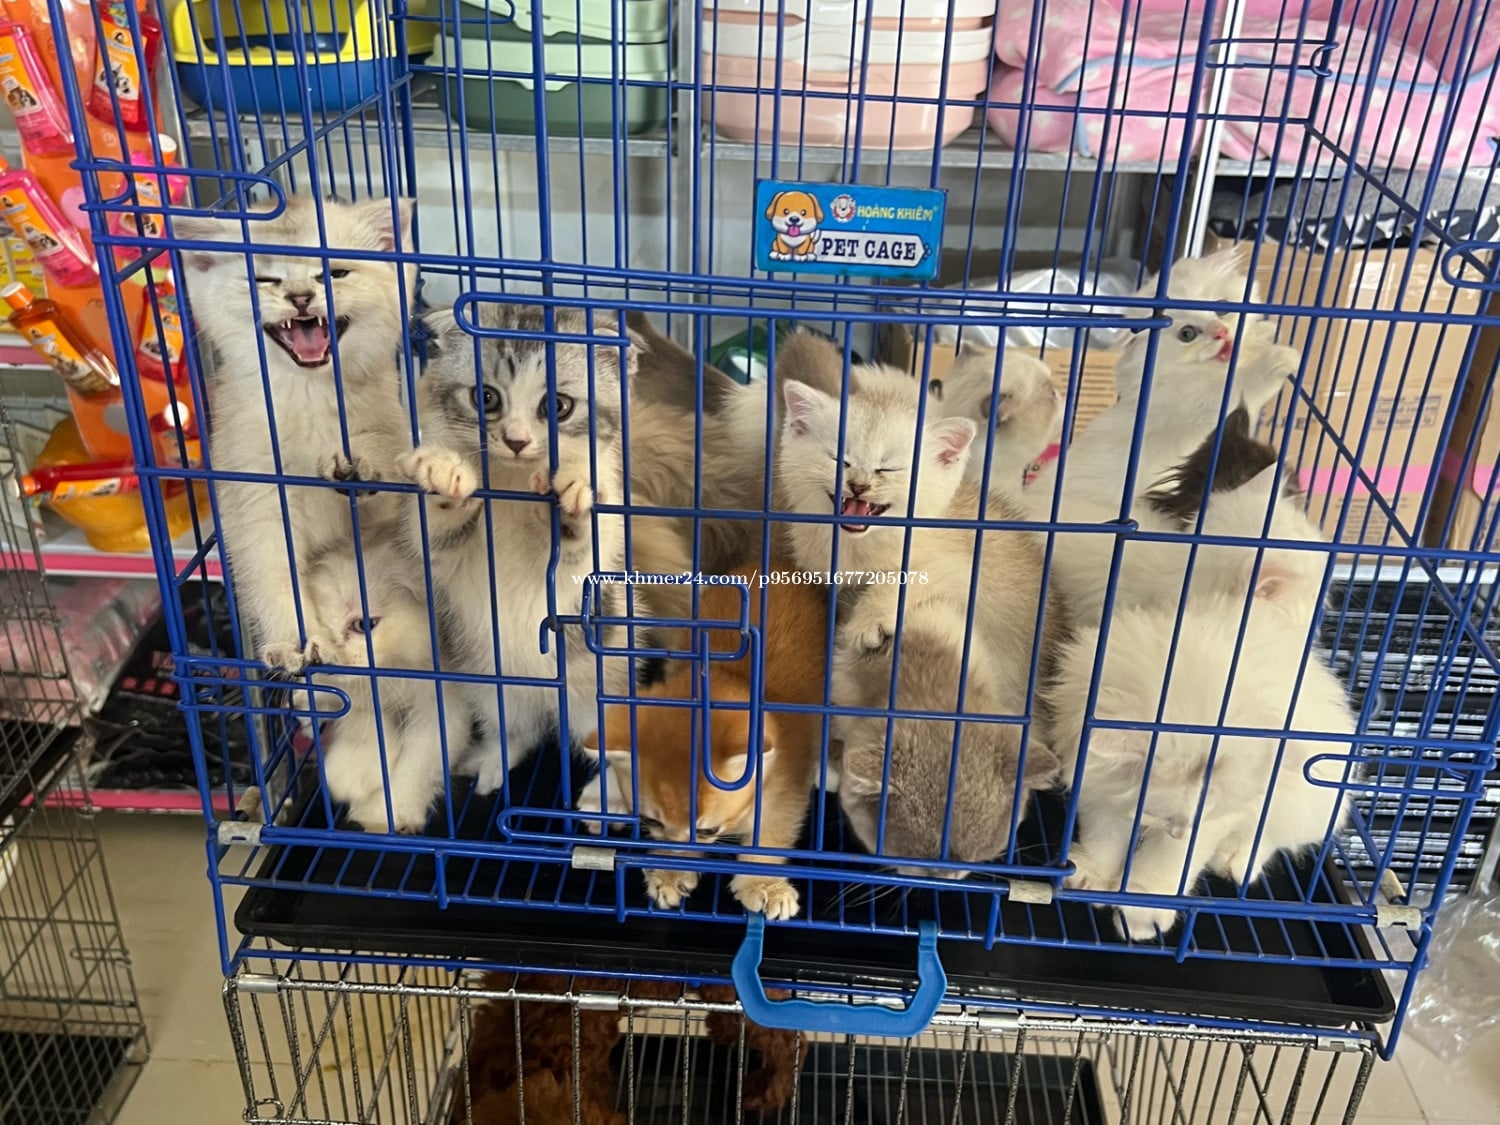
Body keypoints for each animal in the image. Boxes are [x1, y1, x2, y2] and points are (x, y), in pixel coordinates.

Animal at [174, 195, 415, 671]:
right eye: (263, 279)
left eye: (334, 273)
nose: (301, 296)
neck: (308, 393)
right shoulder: (256, 499)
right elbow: (272, 573)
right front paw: (295, 641)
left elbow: (380, 462)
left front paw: (356, 463)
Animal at [296, 536, 473, 833]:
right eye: (318, 628)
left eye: (363, 625)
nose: (331, 662)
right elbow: (361, 721)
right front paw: (352, 772)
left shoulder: (444, 704)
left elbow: (420, 761)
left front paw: (384, 814)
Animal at [395, 303, 631, 791]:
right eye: (486, 398)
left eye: (557, 406)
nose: (517, 441)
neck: (513, 483)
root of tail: (547, 700)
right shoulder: (442, 554)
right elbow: (437, 536)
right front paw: (444, 474)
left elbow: (582, 546)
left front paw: (571, 494)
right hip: (487, 681)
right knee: (517, 728)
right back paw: (493, 760)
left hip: (605, 680)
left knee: (609, 745)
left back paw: (611, 794)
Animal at [578, 557, 830, 920]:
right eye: (650, 821)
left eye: (709, 830)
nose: (679, 851)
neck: (730, 675)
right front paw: (670, 871)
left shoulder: (788, 782)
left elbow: (771, 832)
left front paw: (763, 884)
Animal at [1023, 248, 1303, 632]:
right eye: (1187, 334)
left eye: (1222, 309)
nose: (1221, 333)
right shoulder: (1202, 412)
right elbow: (1240, 385)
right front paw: (1281, 358)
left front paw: (1263, 333)